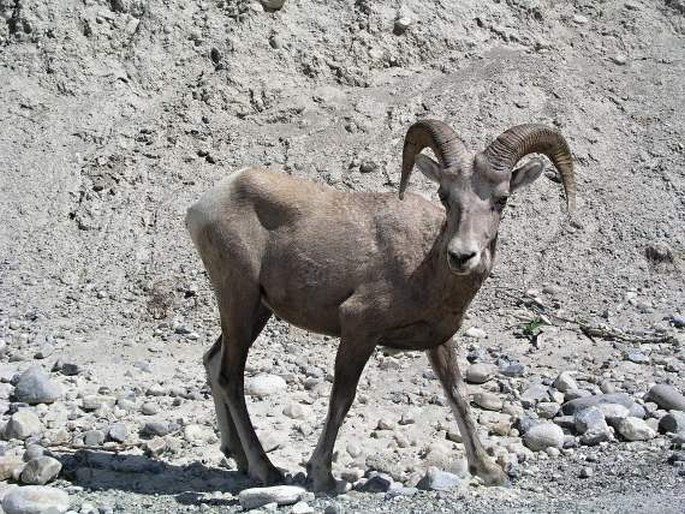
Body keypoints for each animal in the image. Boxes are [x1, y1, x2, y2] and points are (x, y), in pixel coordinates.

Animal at [184, 119, 576, 488]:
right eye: (445, 195)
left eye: (502, 198)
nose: (462, 256)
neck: (423, 266)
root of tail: (204, 204)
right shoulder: (359, 327)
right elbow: (342, 398)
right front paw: (322, 475)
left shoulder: (439, 340)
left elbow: (458, 396)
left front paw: (489, 471)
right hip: (239, 299)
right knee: (230, 376)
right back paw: (265, 470)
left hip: (256, 312)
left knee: (213, 362)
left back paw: (237, 458)